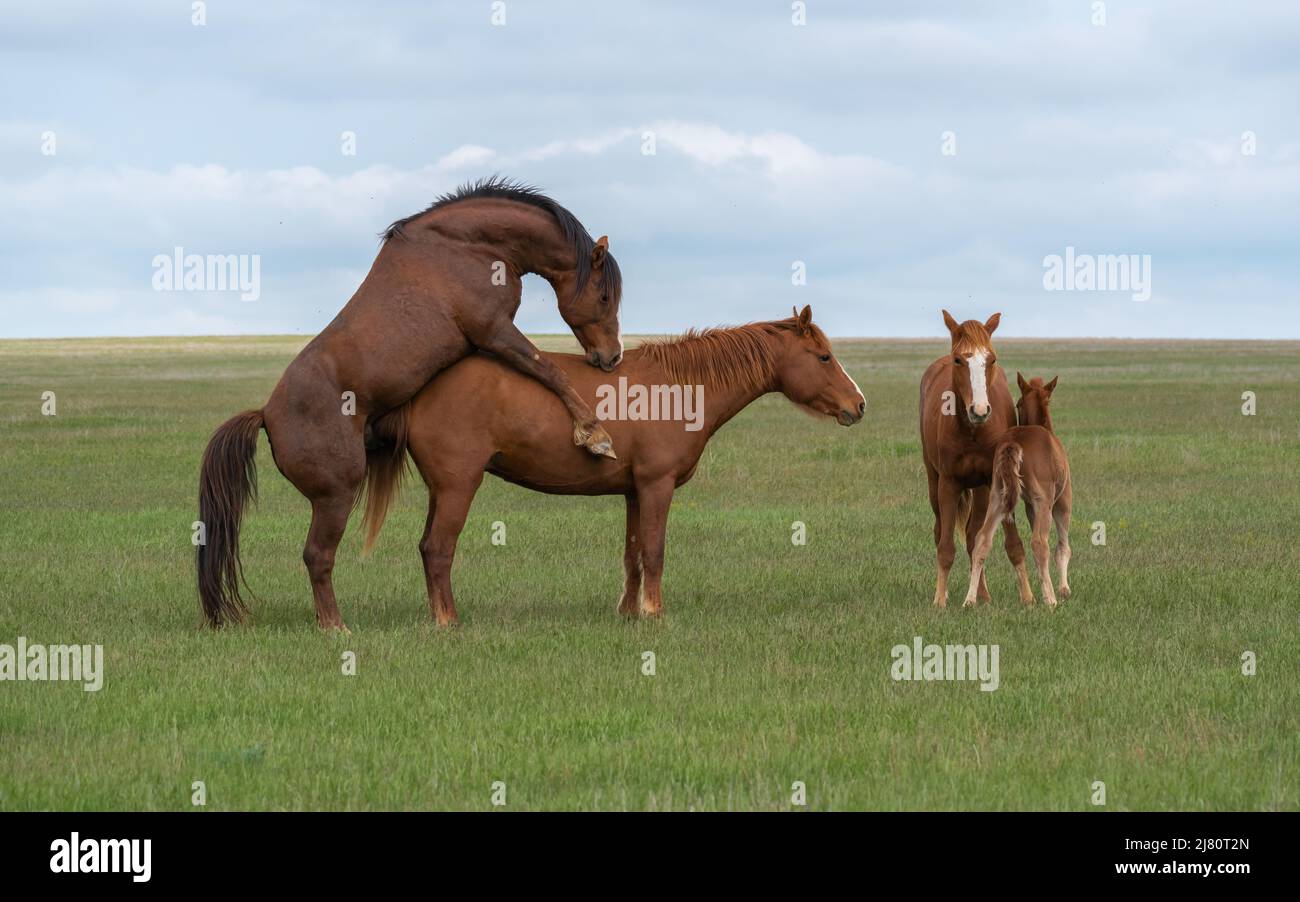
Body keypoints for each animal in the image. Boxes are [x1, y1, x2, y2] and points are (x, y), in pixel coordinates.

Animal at [197, 172, 629, 631]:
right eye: (604, 296)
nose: (611, 357)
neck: (468, 245)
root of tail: (266, 415)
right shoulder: (494, 331)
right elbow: (549, 371)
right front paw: (594, 435)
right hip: (337, 494)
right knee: (318, 556)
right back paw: (336, 627)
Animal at [358, 308, 863, 626]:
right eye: (823, 357)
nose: (858, 405)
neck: (679, 387)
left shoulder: (635, 491)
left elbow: (633, 554)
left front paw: (628, 612)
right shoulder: (657, 486)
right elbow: (655, 551)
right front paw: (654, 613)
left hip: (441, 490)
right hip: (458, 486)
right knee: (438, 549)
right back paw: (448, 621)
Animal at [920, 308, 1029, 610]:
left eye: (991, 359)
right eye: (959, 360)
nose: (980, 410)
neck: (972, 430)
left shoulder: (994, 481)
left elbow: (1004, 542)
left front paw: (1027, 597)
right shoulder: (948, 483)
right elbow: (946, 547)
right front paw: (939, 600)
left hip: (981, 489)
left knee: (973, 536)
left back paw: (983, 594)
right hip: (934, 482)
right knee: (941, 532)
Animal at [961, 371, 1071, 610]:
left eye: (1018, 403)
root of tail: (1013, 444)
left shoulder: (1029, 505)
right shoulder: (1061, 501)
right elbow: (1062, 546)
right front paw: (1064, 590)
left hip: (997, 496)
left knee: (982, 540)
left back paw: (970, 600)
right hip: (1045, 501)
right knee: (1039, 543)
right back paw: (1051, 599)